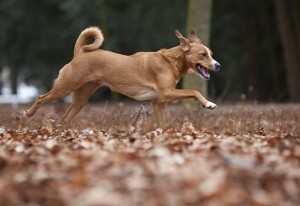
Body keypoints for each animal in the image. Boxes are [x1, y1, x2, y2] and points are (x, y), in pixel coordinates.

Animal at [22, 27, 220, 127]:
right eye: (203, 55)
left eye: (210, 54)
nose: (218, 65)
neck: (170, 60)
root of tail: (80, 53)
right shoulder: (167, 93)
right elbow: (194, 91)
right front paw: (208, 103)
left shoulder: (159, 102)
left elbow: (161, 124)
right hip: (64, 87)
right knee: (41, 98)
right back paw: (27, 114)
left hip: (80, 98)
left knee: (65, 118)